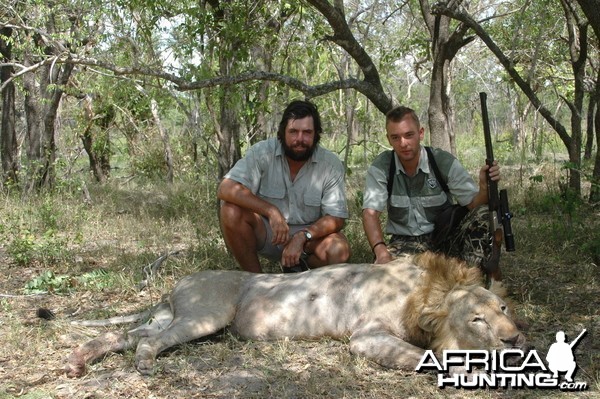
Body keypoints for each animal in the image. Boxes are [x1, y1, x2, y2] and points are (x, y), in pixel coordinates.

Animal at [65, 253, 524, 378]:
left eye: (503, 308)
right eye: (477, 320)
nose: (515, 340)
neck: (425, 291)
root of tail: (176, 285)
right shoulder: (365, 337)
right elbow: (423, 356)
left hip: (175, 317)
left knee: (125, 335)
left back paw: (78, 361)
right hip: (206, 314)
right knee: (147, 340)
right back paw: (142, 364)